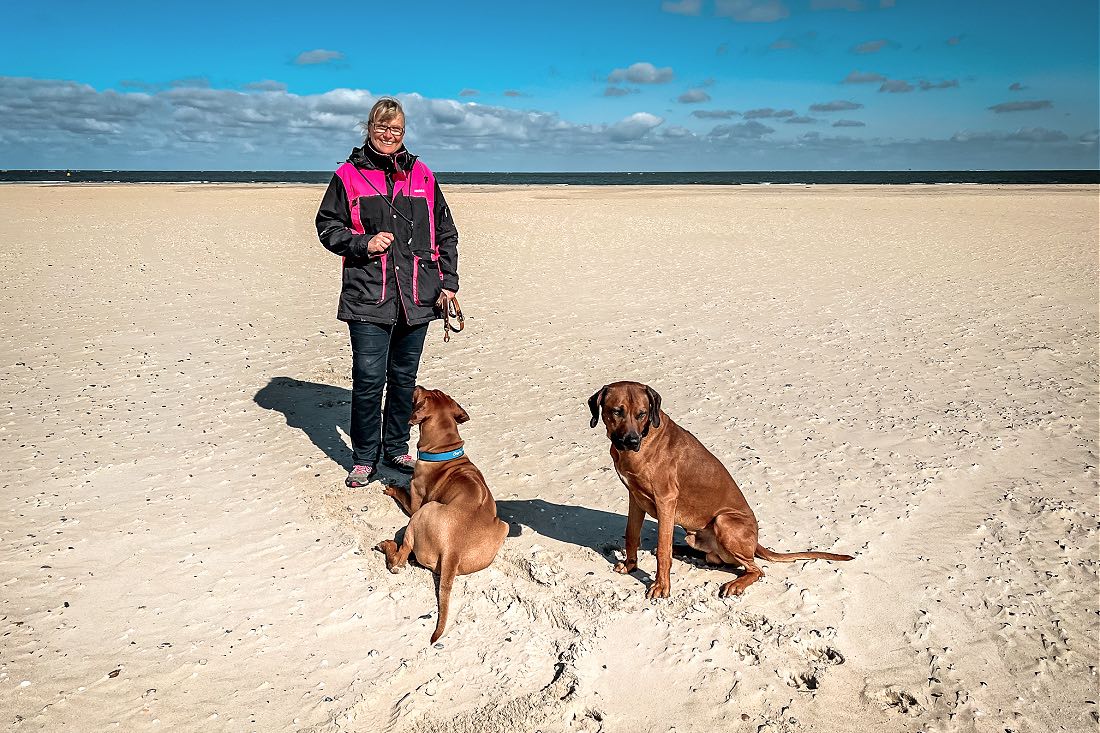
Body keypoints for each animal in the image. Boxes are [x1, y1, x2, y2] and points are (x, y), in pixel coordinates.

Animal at [371, 385, 503, 642]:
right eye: (435, 391)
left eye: (423, 394)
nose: (416, 385)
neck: (445, 450)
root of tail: (453, 550)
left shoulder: (414, 502)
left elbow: (403, 491)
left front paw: (392, 487)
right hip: (503, 527)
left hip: (423, 512)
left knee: (399, 561)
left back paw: (387, 546)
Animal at [589, 378, 853, 598]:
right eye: (616, 412)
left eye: (642, 414)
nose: (631, 441)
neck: (643, 442)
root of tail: (756, 543)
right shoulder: (635, 497)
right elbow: (632, 534)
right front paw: (630, 565)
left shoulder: (666, 500)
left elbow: (664, 552)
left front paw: (661, 586)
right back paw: (684, 549)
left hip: (724, 521)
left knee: (756, 569)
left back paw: (736, 582)